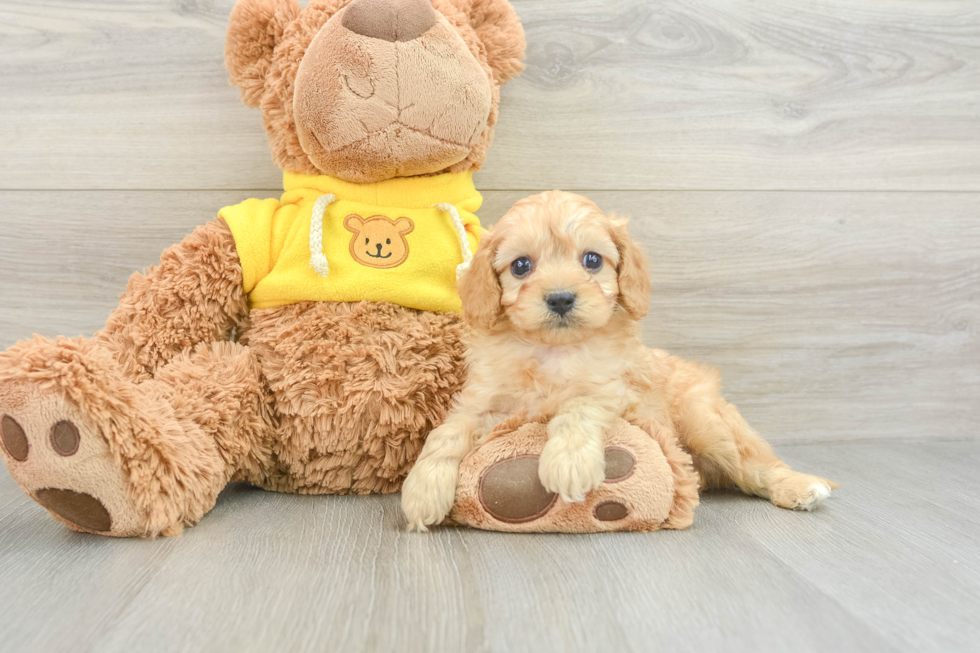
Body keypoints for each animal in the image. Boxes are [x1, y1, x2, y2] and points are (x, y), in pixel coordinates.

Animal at [402, 188, 840, 528]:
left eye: (592, 260)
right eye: (521, 265)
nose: (560, 298)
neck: (553, 349)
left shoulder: (615, 390)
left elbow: (578, 405)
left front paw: (569, 462)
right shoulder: (480, 402)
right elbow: (446, 434)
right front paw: (423, 489)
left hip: (708, 425)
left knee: (756, 466)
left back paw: (800, 486)